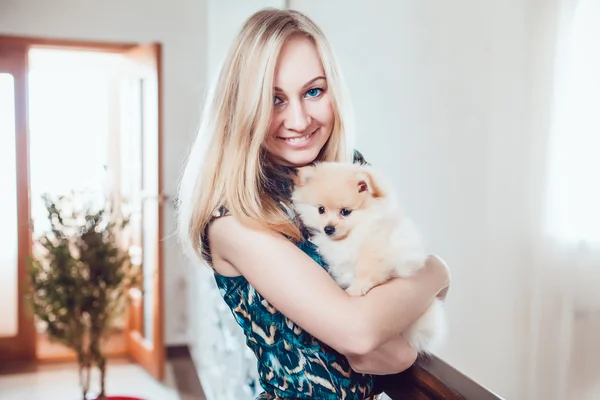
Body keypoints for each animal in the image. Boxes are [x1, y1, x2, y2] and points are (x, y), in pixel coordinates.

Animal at [290, 161, 446, 354]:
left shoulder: (378, 248)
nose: (328, 228)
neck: (354, 234)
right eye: (321, 209)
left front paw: (357, 288)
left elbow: (367, 268)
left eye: (345, 212)